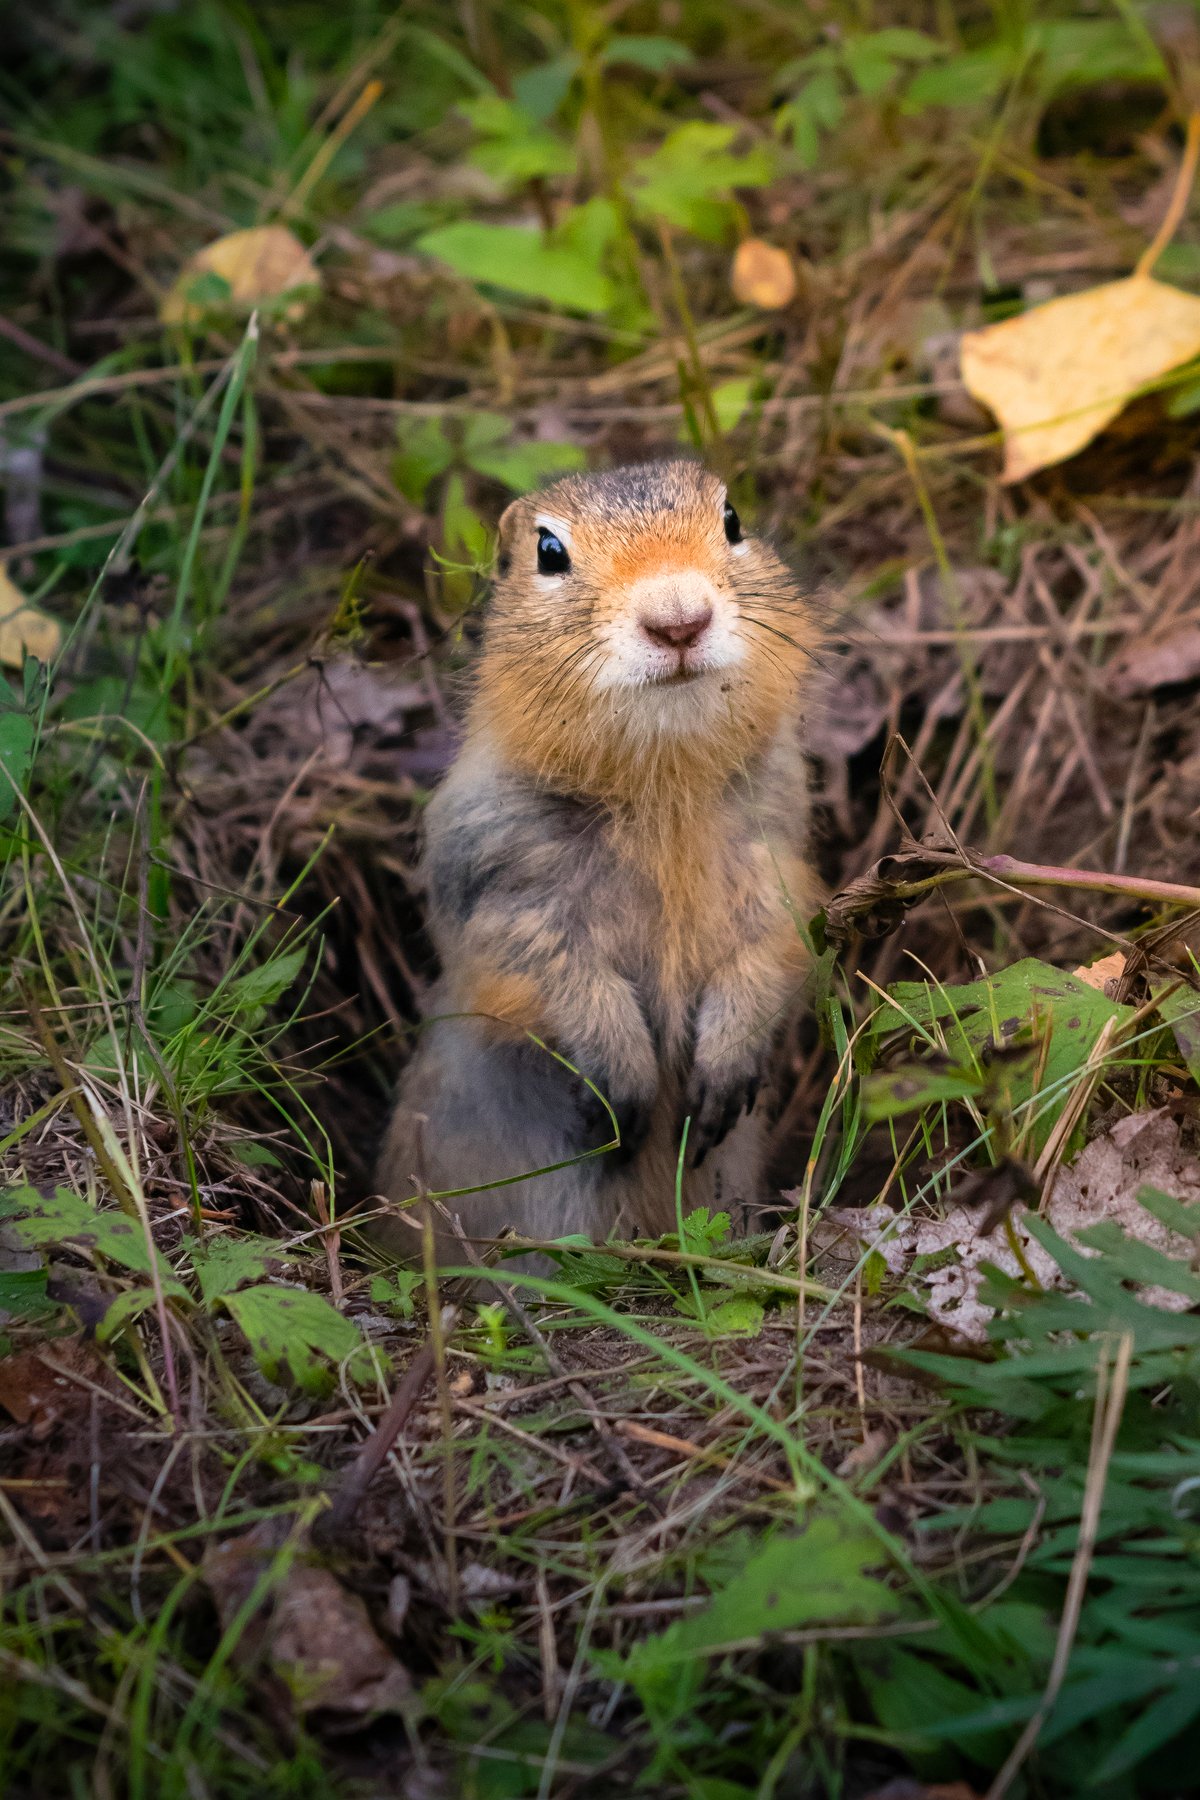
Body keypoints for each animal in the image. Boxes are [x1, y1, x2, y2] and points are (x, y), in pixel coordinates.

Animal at [379, 457, 820, 1260]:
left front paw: (721, 1077)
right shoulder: (504, 883)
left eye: (732, 519)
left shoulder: (775, 855)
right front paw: (627, 1093)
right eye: (549, 552)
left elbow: (769, 947)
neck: (660, 785)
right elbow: (555, 973)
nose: (678, 619)